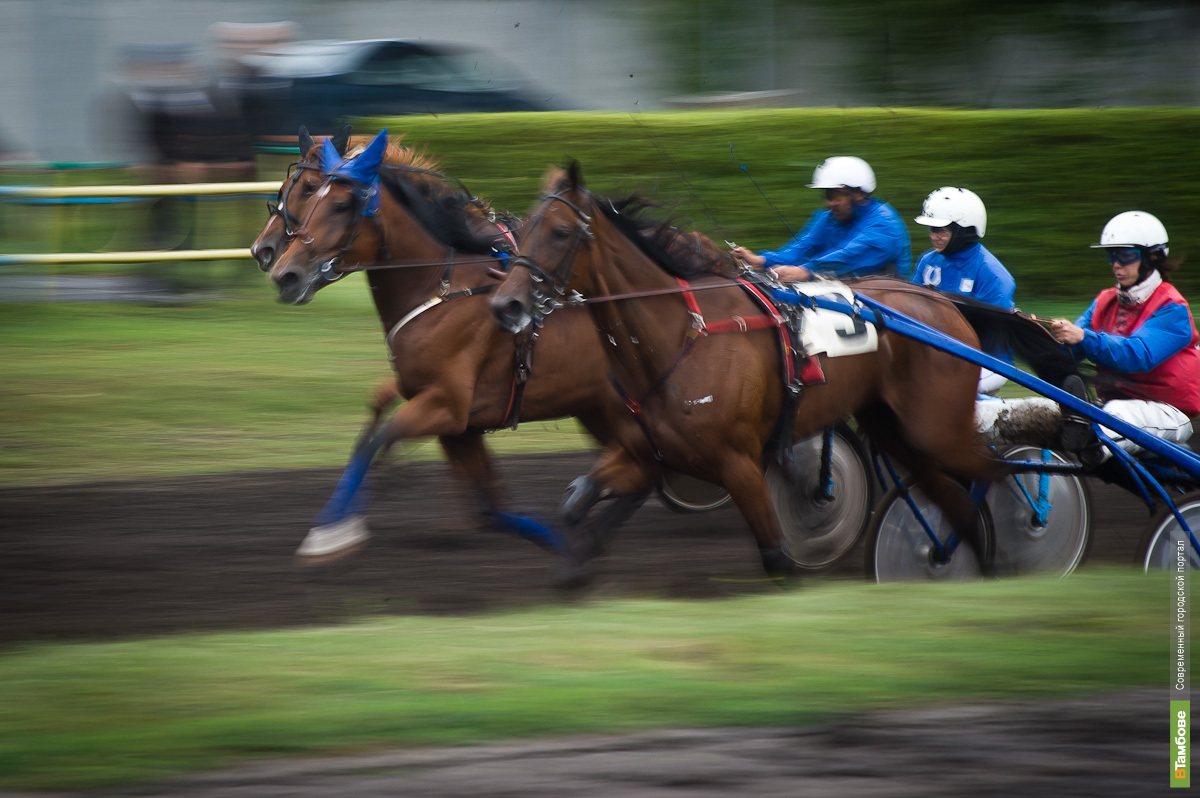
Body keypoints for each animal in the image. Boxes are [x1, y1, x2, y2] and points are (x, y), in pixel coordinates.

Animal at [492, 162, 1008, 583]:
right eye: (526, 225)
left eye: (560, 231)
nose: (505, 305)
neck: (680, 334)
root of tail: (944, 305)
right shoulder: (646, 453)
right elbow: (576, 500)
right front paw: (572, 567)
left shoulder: (739, 463)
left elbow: (776, 556)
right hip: (895, 427)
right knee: (952, 495)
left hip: (936, 425)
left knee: (992, 473)